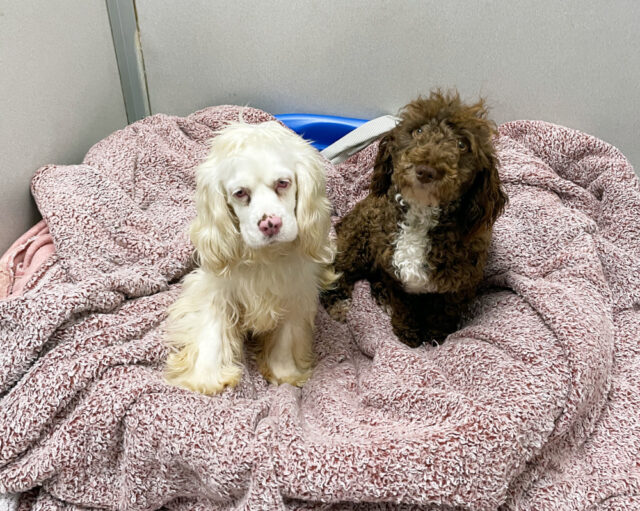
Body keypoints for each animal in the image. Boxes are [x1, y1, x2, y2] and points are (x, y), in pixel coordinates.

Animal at [164, 121, 336, 396]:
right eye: (240, 193)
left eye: (283, 183)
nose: (270, 224)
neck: (265, 257)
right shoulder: (214, 288)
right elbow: (211, 327)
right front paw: (205, 378)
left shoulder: (295, 292)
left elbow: (286, 336)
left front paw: (284, 372)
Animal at [322, 91, 508, 348]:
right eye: (418, 131)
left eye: (462, 144)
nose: (426, 170)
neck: (422, 218)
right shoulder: (395, 276)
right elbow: (404, 307)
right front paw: (407, 334)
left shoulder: (458, 286)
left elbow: (443, 313)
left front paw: (436, 337)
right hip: (356, 245)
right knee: (336, 274)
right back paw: (340, 302)